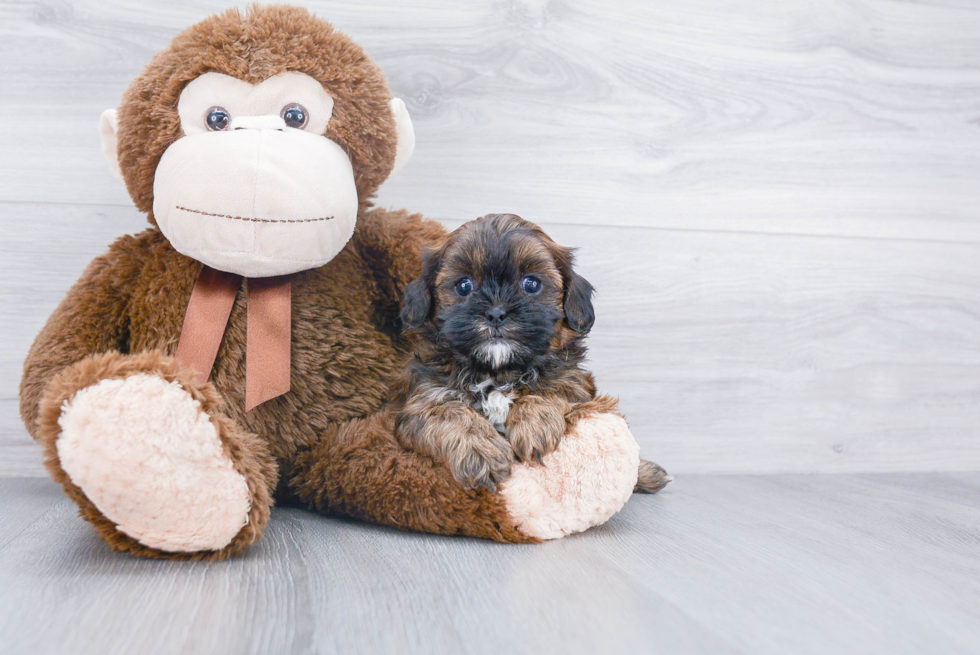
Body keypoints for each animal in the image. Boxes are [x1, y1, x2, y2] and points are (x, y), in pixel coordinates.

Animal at [394, 213, 668, 494]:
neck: (498, 372)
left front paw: (533, 424)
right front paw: (481, 451)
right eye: (463, 286)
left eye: (532, 284)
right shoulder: (423, 399)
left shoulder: (574, 382)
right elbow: (451, 413)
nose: (496, 312)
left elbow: (549, 390)